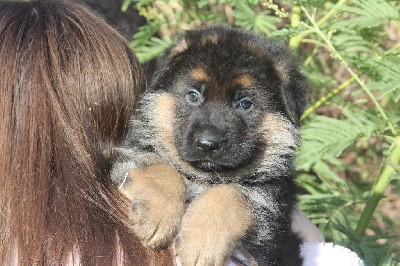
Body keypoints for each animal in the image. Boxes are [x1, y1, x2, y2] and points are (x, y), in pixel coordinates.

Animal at [111, 25, 306, 266]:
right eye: (193, 95)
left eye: (245, 104)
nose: (207, 143)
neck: (202, 177)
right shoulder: (133, 155)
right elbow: (162, 169)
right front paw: (157, 216)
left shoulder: (269, 213)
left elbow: (229, 192)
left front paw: (202, 245)